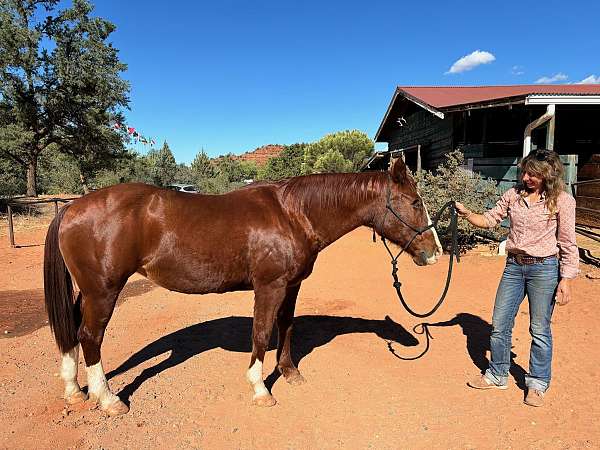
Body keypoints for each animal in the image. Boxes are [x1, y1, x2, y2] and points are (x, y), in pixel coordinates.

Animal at [44, 157, 442, 414]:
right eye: (414, 202)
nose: (435, 253)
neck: (293, 213)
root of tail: (72, 207)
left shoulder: (291, 286)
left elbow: (286, 326)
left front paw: (290, 372)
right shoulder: (269, 287)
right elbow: (262, 333)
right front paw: (260, 389)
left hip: (87, 293)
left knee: (72, 333)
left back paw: (73, 391)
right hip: (103, 292)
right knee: (90, 337)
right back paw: (108, 399)